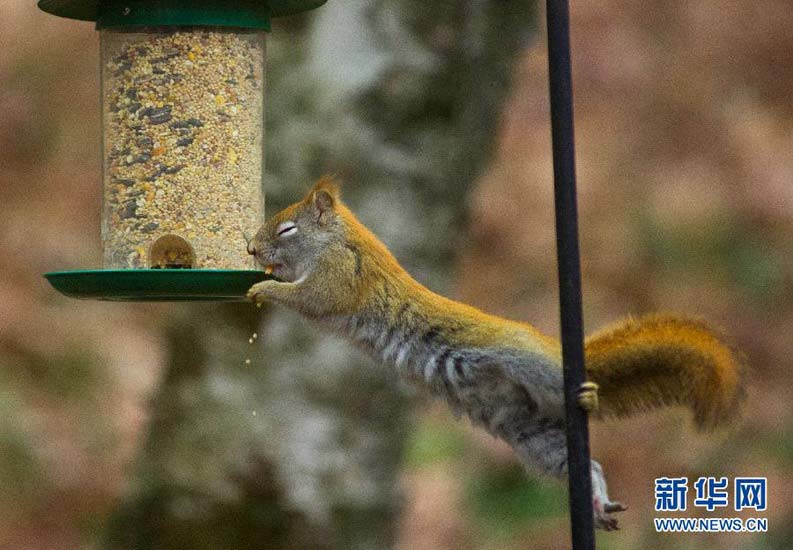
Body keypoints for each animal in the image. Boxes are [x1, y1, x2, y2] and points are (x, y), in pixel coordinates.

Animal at [246, 177, 744, 532]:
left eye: (288, 228)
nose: (251, 248)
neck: (337, 239)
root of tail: (556, 350)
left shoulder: (342, 276)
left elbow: (313, 298)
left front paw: (264, 289)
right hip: (534, 435)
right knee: (583, 462)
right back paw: (598, 499)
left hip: (525, 363)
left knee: (565, 388)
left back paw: (589, 396)